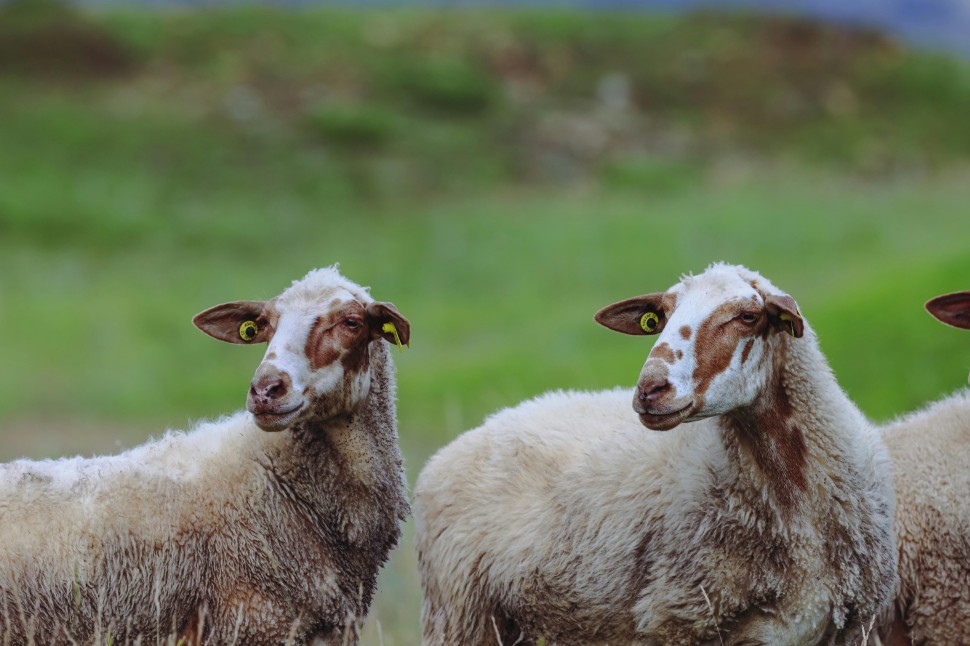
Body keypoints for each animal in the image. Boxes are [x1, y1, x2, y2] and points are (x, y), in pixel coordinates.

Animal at [412, 264, 896, 646]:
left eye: (748, 316)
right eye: (658, 317)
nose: (649, 388)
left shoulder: (849, 627)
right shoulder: (679, 618)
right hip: (463, 616)